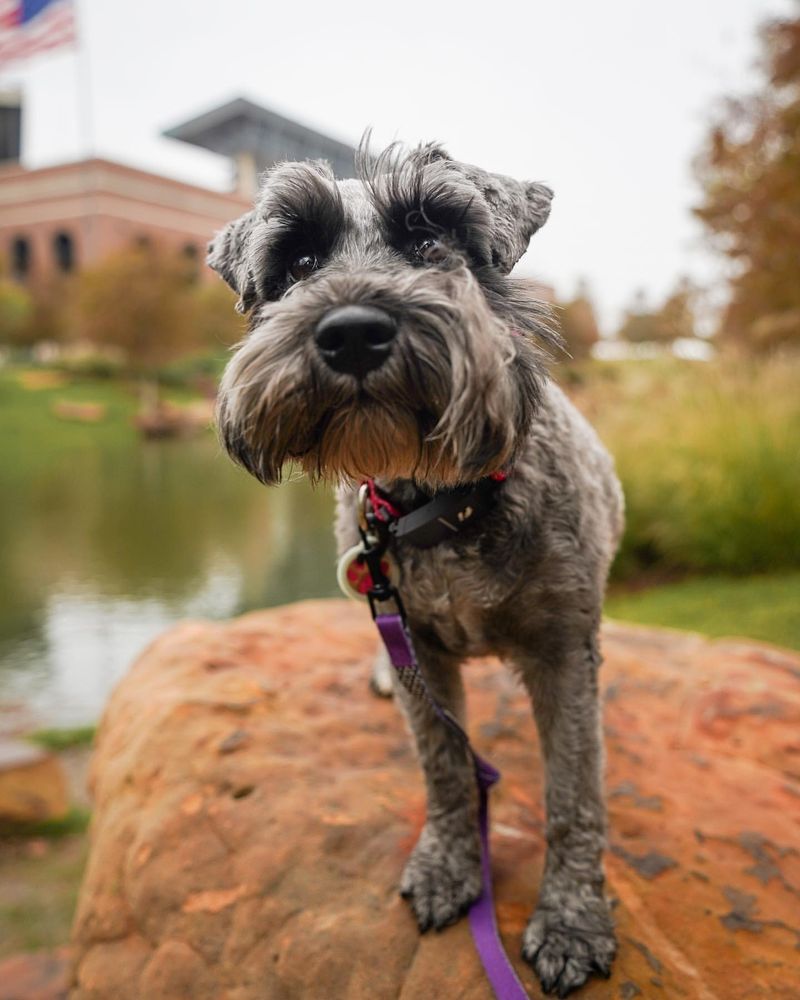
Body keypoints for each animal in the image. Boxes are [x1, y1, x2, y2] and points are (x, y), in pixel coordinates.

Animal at [209, 139, 620, 992]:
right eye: (298, 262)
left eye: (432, 240)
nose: (352, 333)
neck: (444, 504)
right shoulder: (419, 656)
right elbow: (445, 769)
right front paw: (446, 869)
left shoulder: (565, 651)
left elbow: (573, 792)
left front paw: (572, 921)